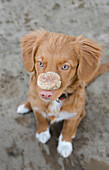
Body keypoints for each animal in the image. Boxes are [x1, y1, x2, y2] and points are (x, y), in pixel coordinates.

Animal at [17, 29, 109, 158]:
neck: (56, 100)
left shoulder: (74, 113)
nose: (45, 94)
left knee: (82, 115)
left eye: (65, 67)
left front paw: (65, 145)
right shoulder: (37, 105)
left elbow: (68, 128)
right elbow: (40, 118)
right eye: (40, 63)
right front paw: (42, 133)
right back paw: (25, 106)